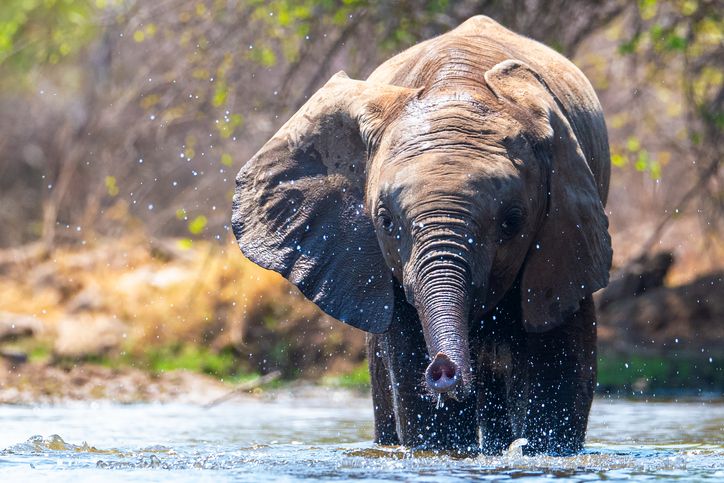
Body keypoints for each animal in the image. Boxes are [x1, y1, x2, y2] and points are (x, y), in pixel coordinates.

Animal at [232, 13, 612, 456]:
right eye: (385, 221)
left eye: (512, 221)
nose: (444, 370)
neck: (457, 88)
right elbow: (423, 398)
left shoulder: (564, 233)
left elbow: (556, 376)